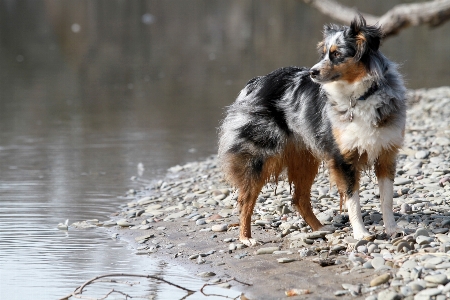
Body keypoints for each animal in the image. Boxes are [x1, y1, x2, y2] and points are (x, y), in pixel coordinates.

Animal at [218, 15, 408, 247]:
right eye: (323, 53)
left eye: (337, 54)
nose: (312, 72)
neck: (359, 96)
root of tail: (256, 82)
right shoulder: (344, 158)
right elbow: (353, 200)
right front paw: (361, 233)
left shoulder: (386, 153)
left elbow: (387, 199)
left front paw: (392, 230)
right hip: (259, 156)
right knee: (246, 198)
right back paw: (246, 237)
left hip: (305, 158)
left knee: (299, 198)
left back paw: (320, 228)